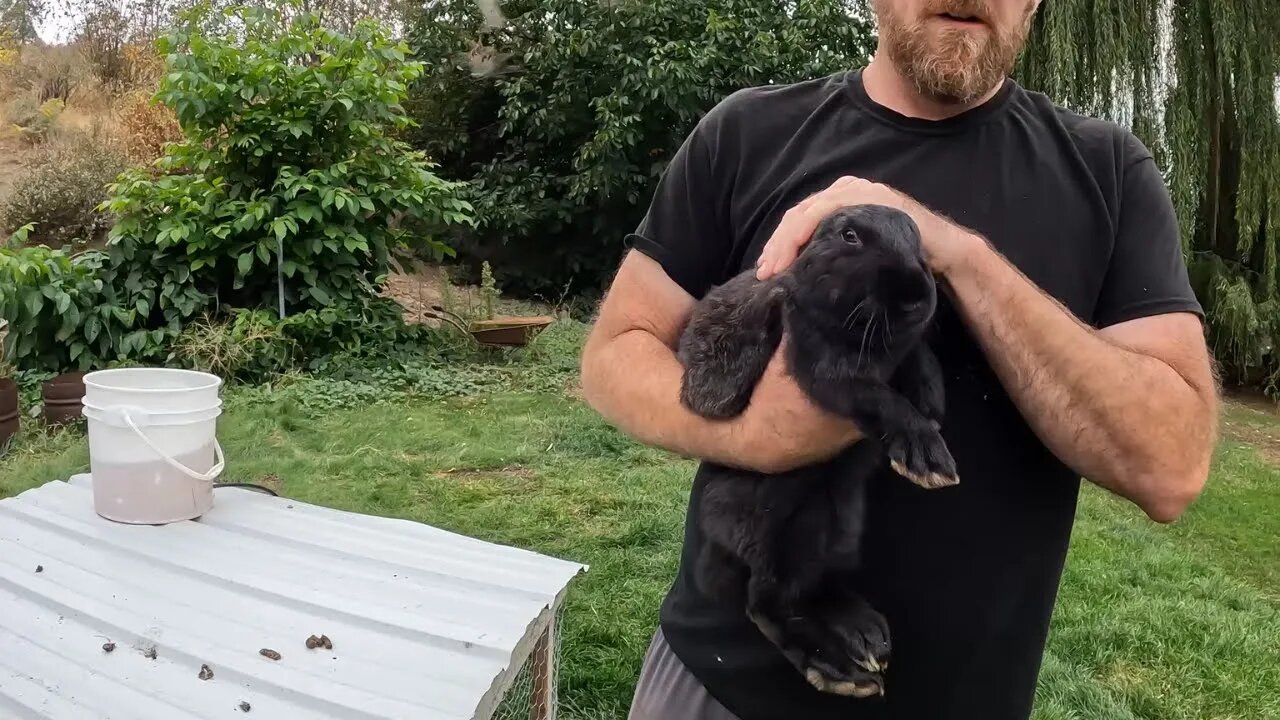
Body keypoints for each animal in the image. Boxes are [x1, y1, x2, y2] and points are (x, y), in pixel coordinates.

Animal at [676, 203, 959, 698]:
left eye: (918, 241)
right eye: (850, 237)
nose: (914, 295)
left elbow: (917, 353)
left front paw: (931, 397)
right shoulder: (825, 370)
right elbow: (880, 398)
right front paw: (928, 456)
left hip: (838, 523)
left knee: (812, 588)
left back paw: (865, 632)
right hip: (781, 528)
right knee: (765, 605)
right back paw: (840, 671)